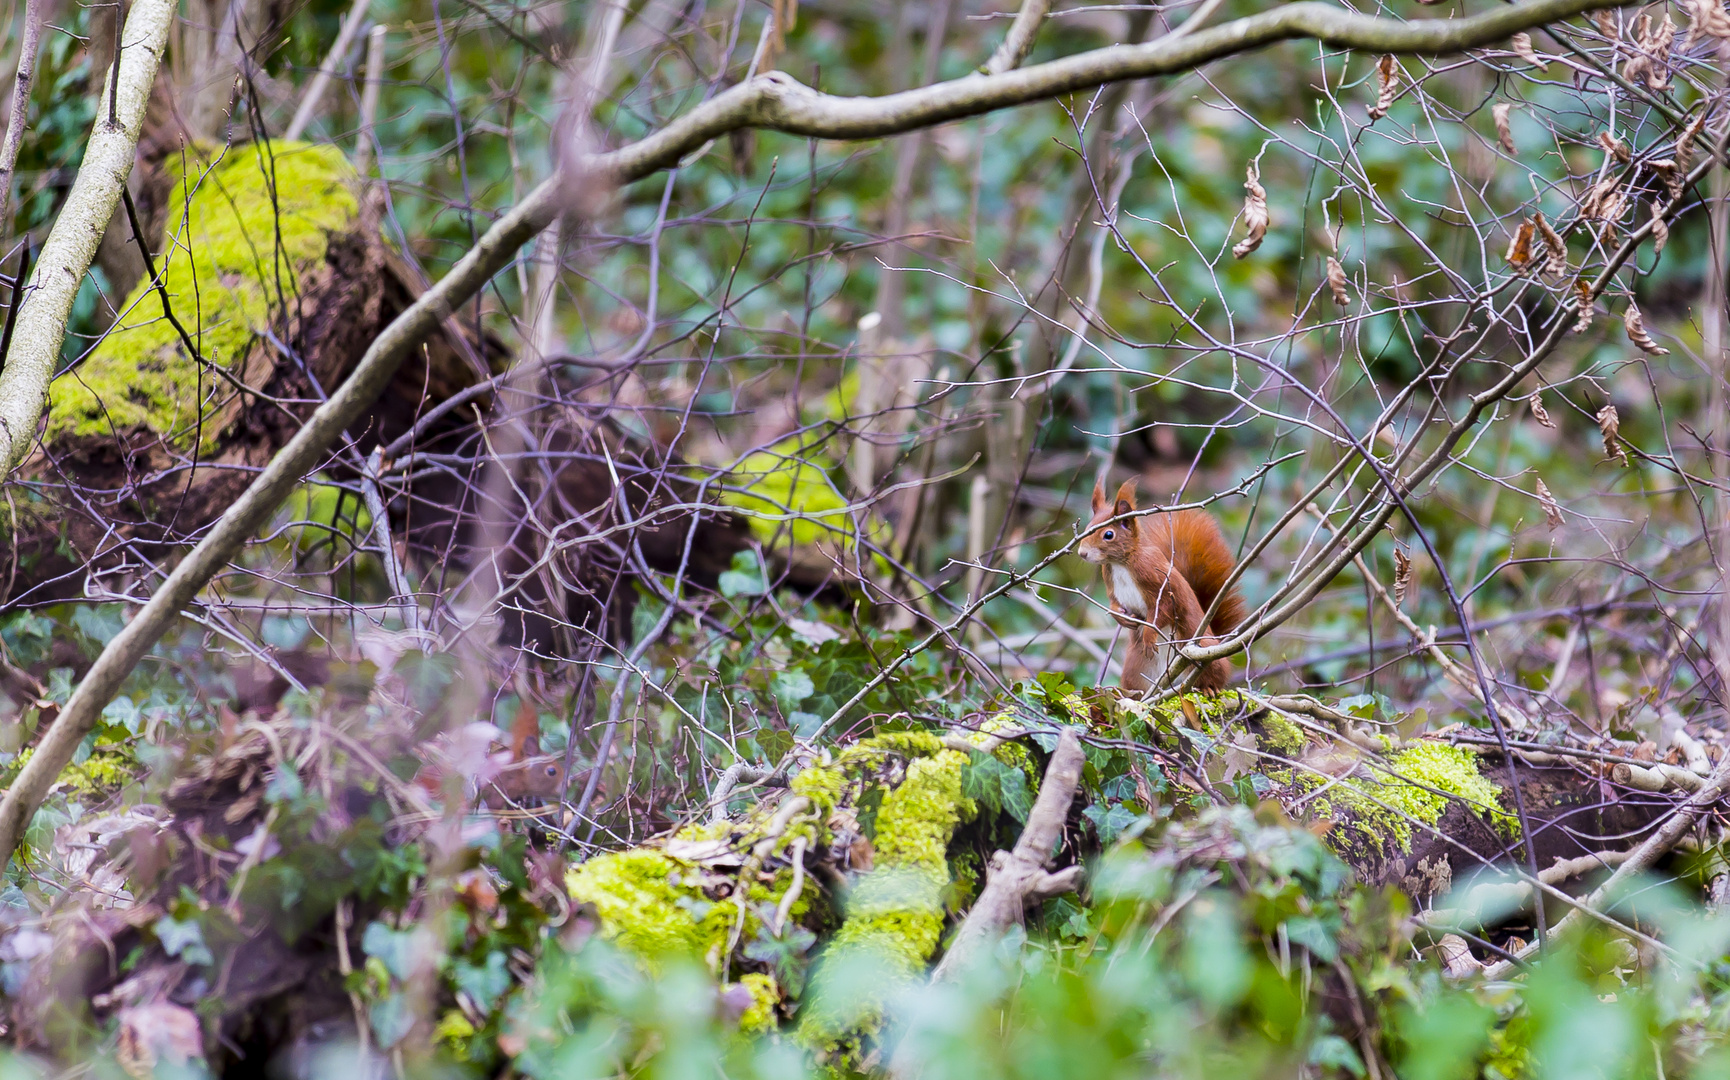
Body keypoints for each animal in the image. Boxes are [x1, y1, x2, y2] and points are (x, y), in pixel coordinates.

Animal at [1065, 477, 1245, 692]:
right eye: (1086, 529)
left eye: (1108, 535)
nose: (1082, 553)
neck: (1120, 563)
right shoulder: (1110, 581)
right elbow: (1113, 602)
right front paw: (1121, 617)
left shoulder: (1158, 580)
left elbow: (1163, 610)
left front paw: (1150, 635)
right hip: (1135, 666)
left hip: (1204, 651)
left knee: (1213, 674)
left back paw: (1209, 687)